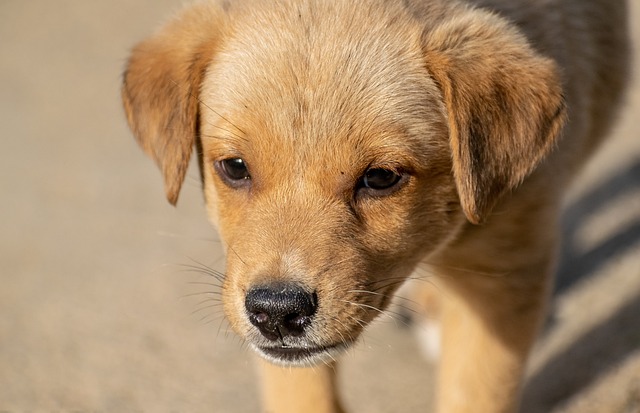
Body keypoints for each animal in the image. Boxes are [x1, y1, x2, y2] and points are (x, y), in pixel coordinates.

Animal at [121, 0, 632, 410]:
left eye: (381, 178)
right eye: (234, 168)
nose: (277, 312)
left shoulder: (504, 268)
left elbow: (474, 391)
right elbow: (301, 394)